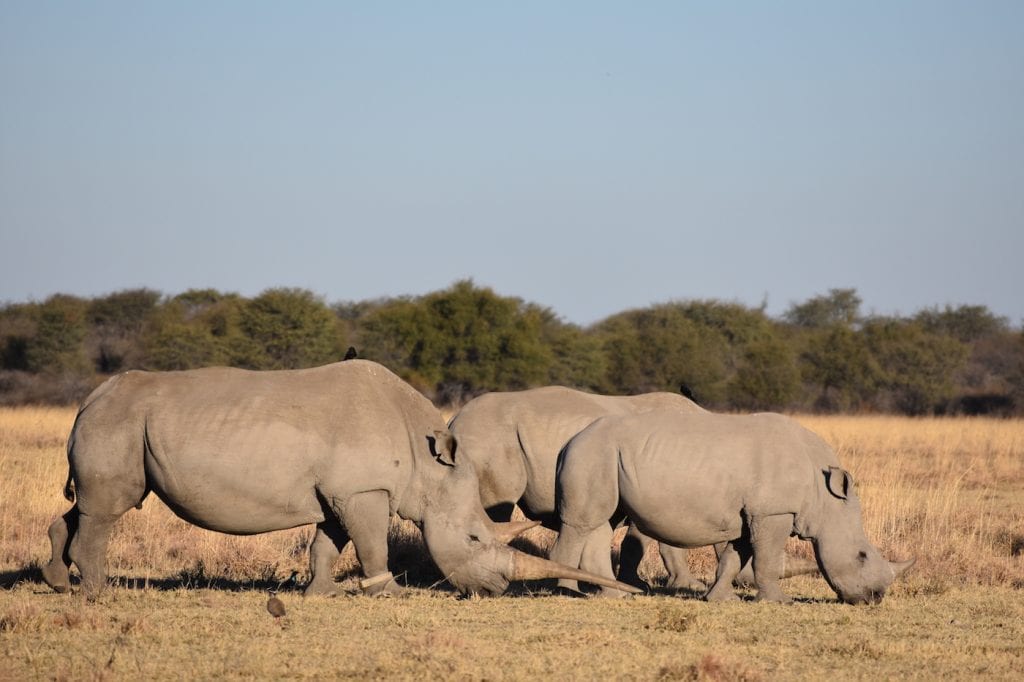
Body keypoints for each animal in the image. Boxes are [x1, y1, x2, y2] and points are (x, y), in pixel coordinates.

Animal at [48, 358, 643, 598]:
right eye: (475, 538)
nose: (494, 589)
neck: (427, 462)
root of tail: (89, 399)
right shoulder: (363, 490)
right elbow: (372, 542)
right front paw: (387, 592)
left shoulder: (340, 491)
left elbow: (327, 543)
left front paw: (319, 593)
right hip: (120, 424)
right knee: (108, 509)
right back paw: (101, 592)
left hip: (118, 424)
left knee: (84, 507)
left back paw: (58, 582)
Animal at [548, 405, 917, 602]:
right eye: (862, 555)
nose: (875, 598)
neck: (824, 497)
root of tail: (568, 442)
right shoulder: (773, 511)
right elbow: (766, 559)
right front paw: (778, 602)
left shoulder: (751, 514)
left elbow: (734, 557)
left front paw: (719, 599)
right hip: (592, 452)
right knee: (582, 524)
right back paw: (568, 594)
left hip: (605, 456)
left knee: (603, 521)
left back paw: (615, 595)